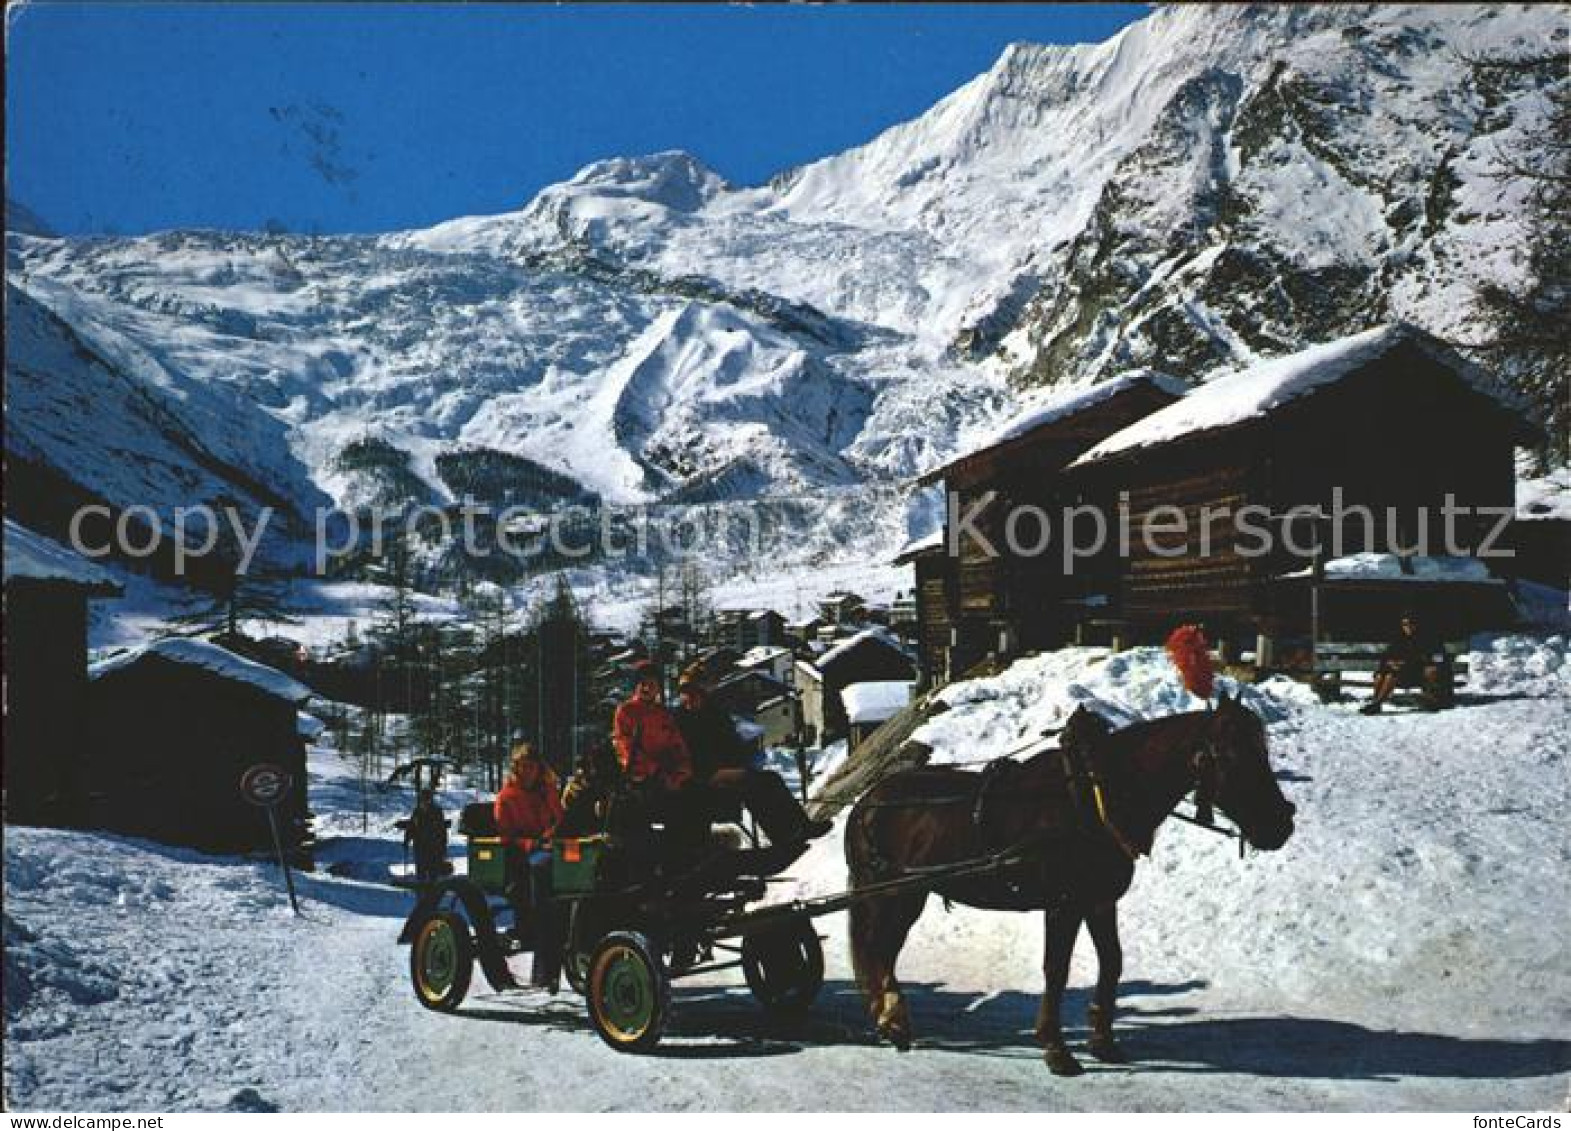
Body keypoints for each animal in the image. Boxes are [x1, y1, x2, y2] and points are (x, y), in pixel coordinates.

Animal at [854, 688, 1294, 1080]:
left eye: (1263, 750)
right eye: (1231, 754)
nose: (1280, 824)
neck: (1091, 799)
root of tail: (868, 799)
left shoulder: (1099, 901)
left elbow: (1113, 963)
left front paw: (1103, 1041)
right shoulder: (1063, 904)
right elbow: (1057, 970)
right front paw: (1056, 1049)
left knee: (882, 951)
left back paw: (889, 1019)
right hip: (897, 895)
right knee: (880, 949)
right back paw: (892, 1021)